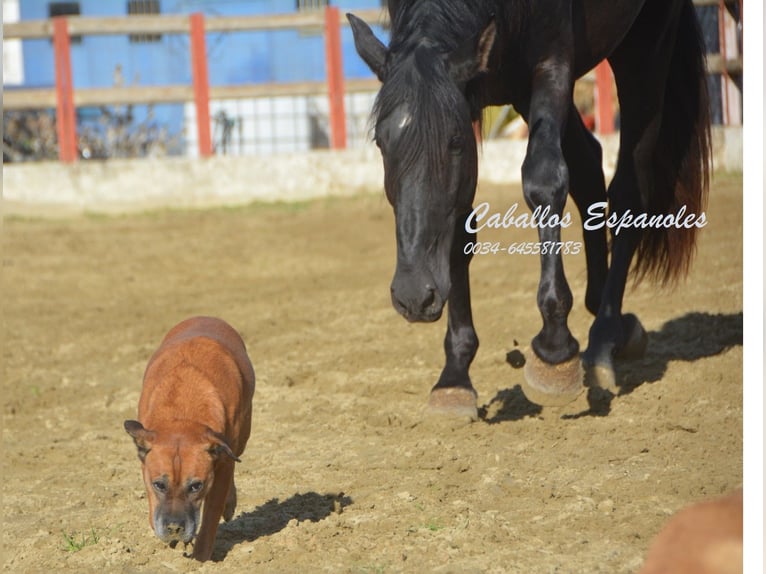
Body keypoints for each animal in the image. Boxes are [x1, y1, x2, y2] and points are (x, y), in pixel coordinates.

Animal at [126, 316, 256, 564]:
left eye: (196, 486)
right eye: (159, 484)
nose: (174, 528)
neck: (183, 414)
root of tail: (206, 317)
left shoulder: (222, 466)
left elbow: (210, 517)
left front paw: (199, 560)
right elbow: (152, 506)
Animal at [352, 0, 712, 418]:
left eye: (455, 141)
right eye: (381, 142)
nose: (413, 295)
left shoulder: (550, 64)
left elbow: (544, 180)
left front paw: (554, 349)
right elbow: (459, 227)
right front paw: (455, 376)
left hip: (645, 46)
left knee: (629, 189)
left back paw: (604, 336)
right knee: (589, 168)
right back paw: (610, 318)